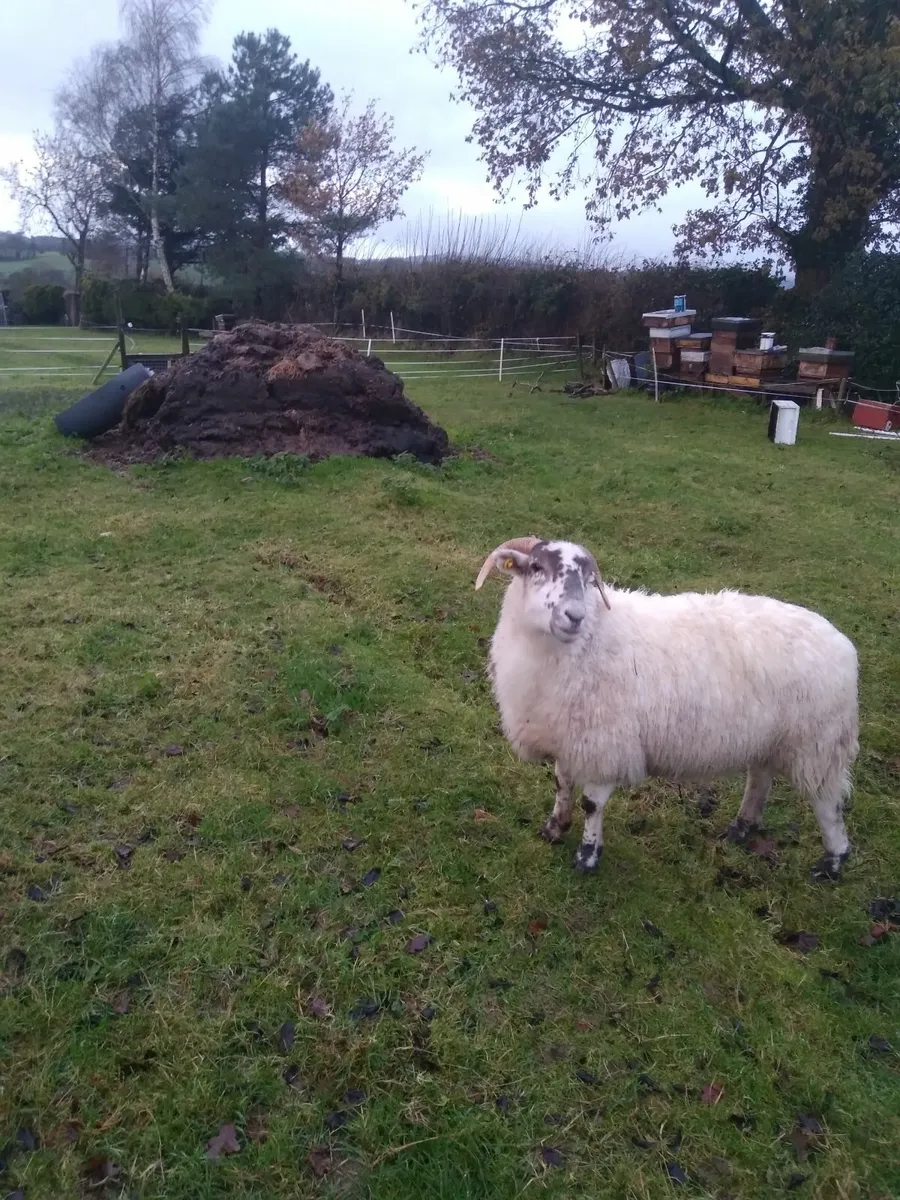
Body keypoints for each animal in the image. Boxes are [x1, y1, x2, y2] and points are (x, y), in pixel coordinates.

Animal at [474, 536, 859, 882]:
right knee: (760, 779)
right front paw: (554, 828)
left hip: (819, 745)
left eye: (588, 580)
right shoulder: (568, 737)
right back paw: (740, 828)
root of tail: (842, 644)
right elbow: (561, 785)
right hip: (768, 738)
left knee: (829, 804)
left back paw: (832, 862)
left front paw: (587, 856)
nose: (574, 616)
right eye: (536, 568)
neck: (591, 639)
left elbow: (592, 804)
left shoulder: (606, 745)